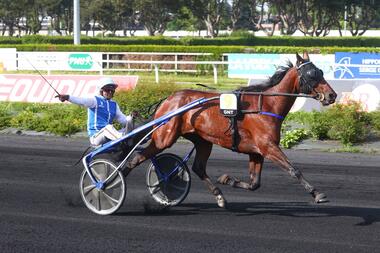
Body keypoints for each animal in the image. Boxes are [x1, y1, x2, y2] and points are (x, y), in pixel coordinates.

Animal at [127, 51, 336, 208]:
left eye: (321, 71)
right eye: (312, 75)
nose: (332, 95)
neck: (266, 105)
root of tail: (167, 99)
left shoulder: (256, 151)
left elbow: (254, 183)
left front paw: (227, 179)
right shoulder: (268, 147)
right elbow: (294, 170)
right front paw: (317, 194)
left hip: (203, 140)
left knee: (198, 167)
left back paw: (219, 196)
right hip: (164, 137)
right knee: (136, 158)